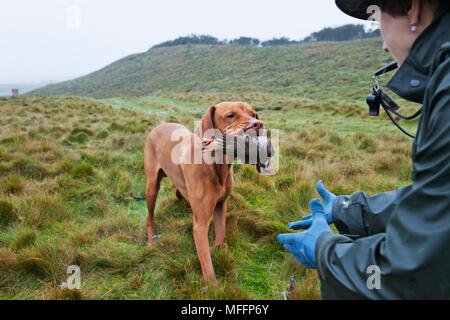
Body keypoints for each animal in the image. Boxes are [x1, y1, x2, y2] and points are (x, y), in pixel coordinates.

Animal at [144, 102, 272, 284]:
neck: (216, 165)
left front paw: (219, 250)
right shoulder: (200, 225)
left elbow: (220, 236)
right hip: (151, 188)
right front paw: (213, 287)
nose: (258, 124)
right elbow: (207, 266)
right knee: (150, 217)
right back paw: (151, 239)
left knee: (179, 191)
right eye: (230, 115)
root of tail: (161, 125)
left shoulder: (220, 205)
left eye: (254, 114)